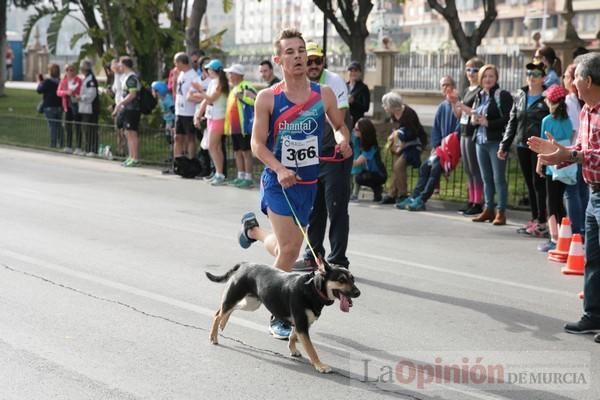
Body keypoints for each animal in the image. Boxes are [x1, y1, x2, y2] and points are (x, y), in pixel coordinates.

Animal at [205, 260, 360, 374]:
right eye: (341, 280)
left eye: (353, 279)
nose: (358, 293)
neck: (313, 288)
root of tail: (244, 264)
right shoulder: (302, 325)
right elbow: (311, 349)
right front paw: (320, 365)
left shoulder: (301, 324)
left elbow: (292, 336)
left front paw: (293, 350)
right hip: (236, 296)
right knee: (218, 314)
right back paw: (213, 336)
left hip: (251, 304)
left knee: (226, 310)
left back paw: (223, 323)